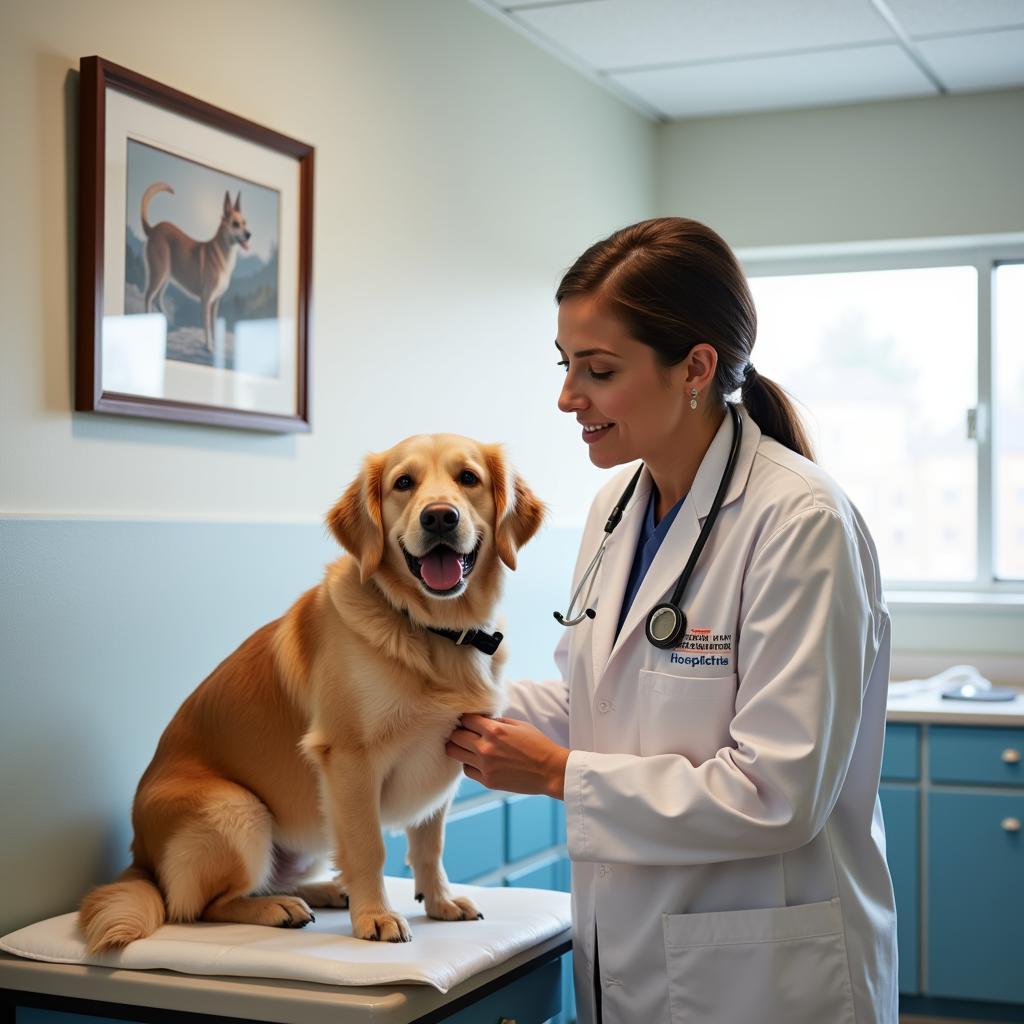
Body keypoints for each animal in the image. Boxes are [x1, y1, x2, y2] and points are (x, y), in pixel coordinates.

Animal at [81, 436, 544, 946]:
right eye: (404, 482)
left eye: (468, 478)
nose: (439, 516)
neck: (432, 629)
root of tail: (138, 858)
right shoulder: (348, 759)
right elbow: (369, 849)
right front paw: (376, 915)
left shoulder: (443, 756)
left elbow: (429, 845)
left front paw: (439, 901)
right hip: (236, 808)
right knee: (202, 905)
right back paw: (278, 907)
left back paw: (324, 890)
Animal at [142, 184, 251, 356]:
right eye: (235, 224)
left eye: (244, 223)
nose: (249, 234)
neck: (222, 254)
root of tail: (153, 229)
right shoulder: (206, 300)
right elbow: (207, 327)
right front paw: (209, 347)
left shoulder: (215, 303)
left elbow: (213, 325)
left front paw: (216, 347)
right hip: (158, 274)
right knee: (148, 297)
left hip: (166, 277)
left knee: (158, 299)